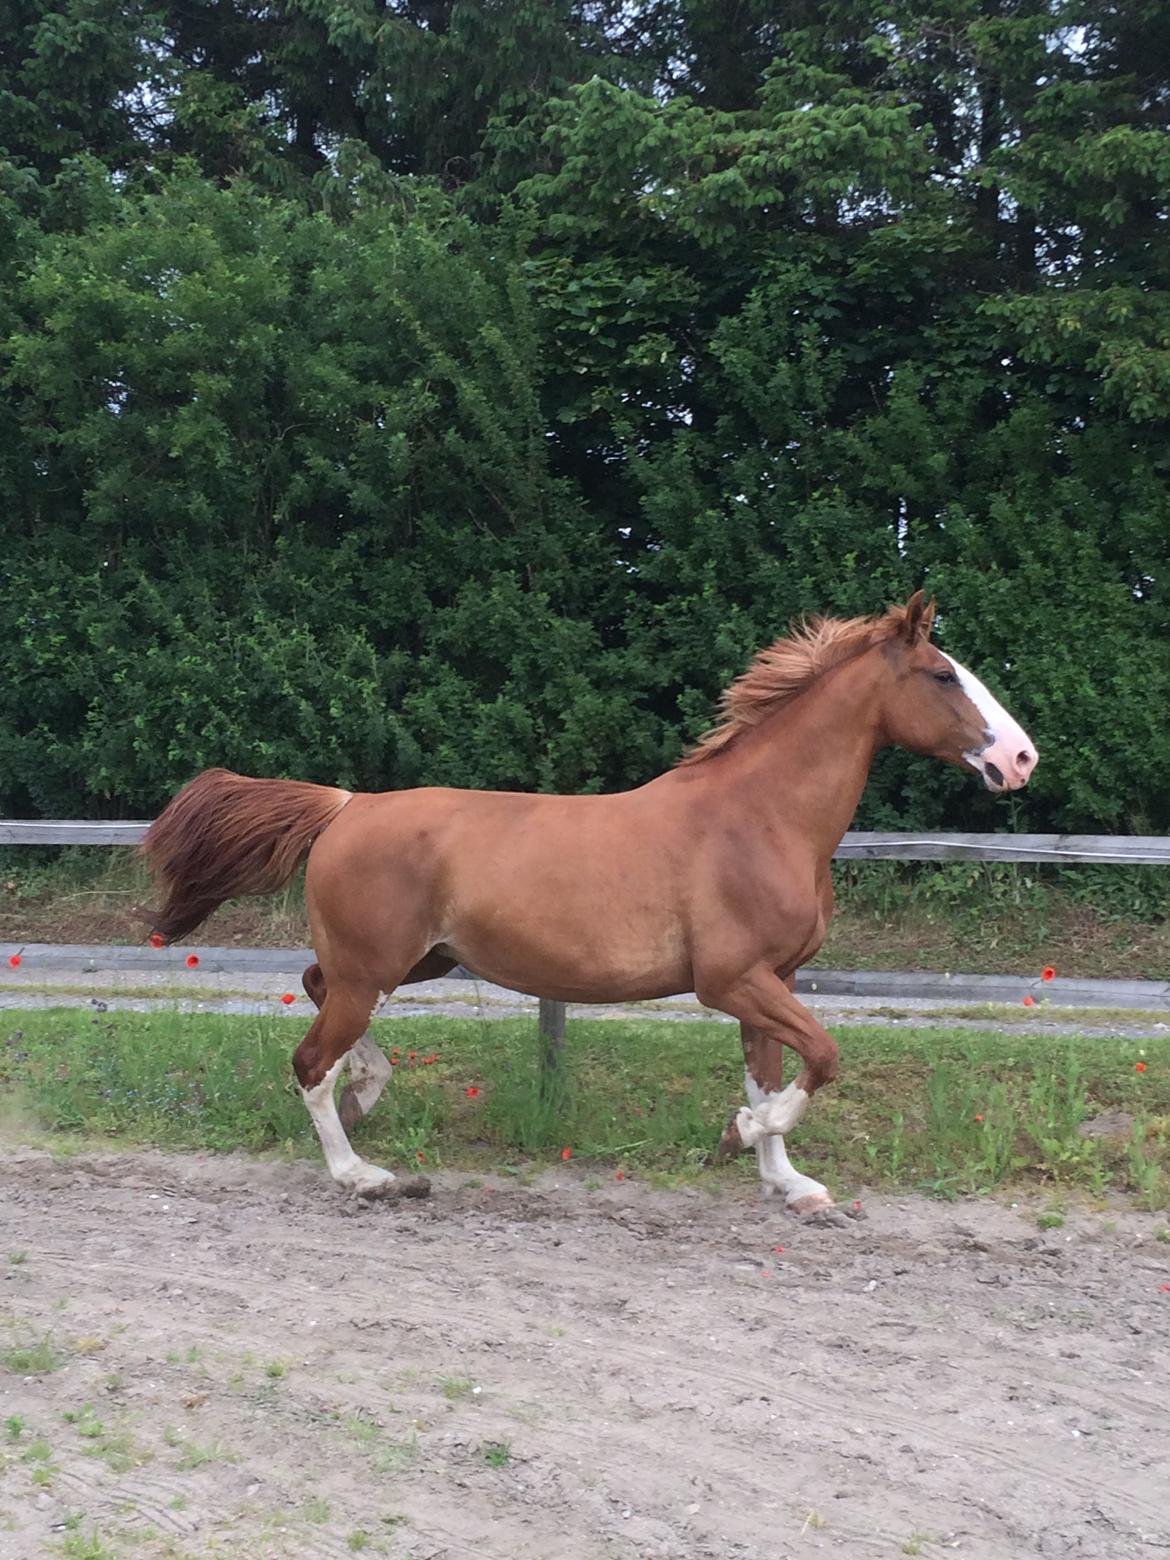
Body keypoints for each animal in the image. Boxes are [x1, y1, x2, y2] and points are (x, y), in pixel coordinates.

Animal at [144, 589, 1035, 1210]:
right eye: (942, 675)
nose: (1021, 759)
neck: (760, 819)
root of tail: (345, 805)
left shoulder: (769, 983)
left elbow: (771, 1072)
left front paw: (789, 1184)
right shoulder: (731, 980)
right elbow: (821, 1058)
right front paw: (740, 1135)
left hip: (413, 962)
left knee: (314, 993)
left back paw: (370, 1092)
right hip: (378, 968)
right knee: (308, 1061)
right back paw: (365, 1173)